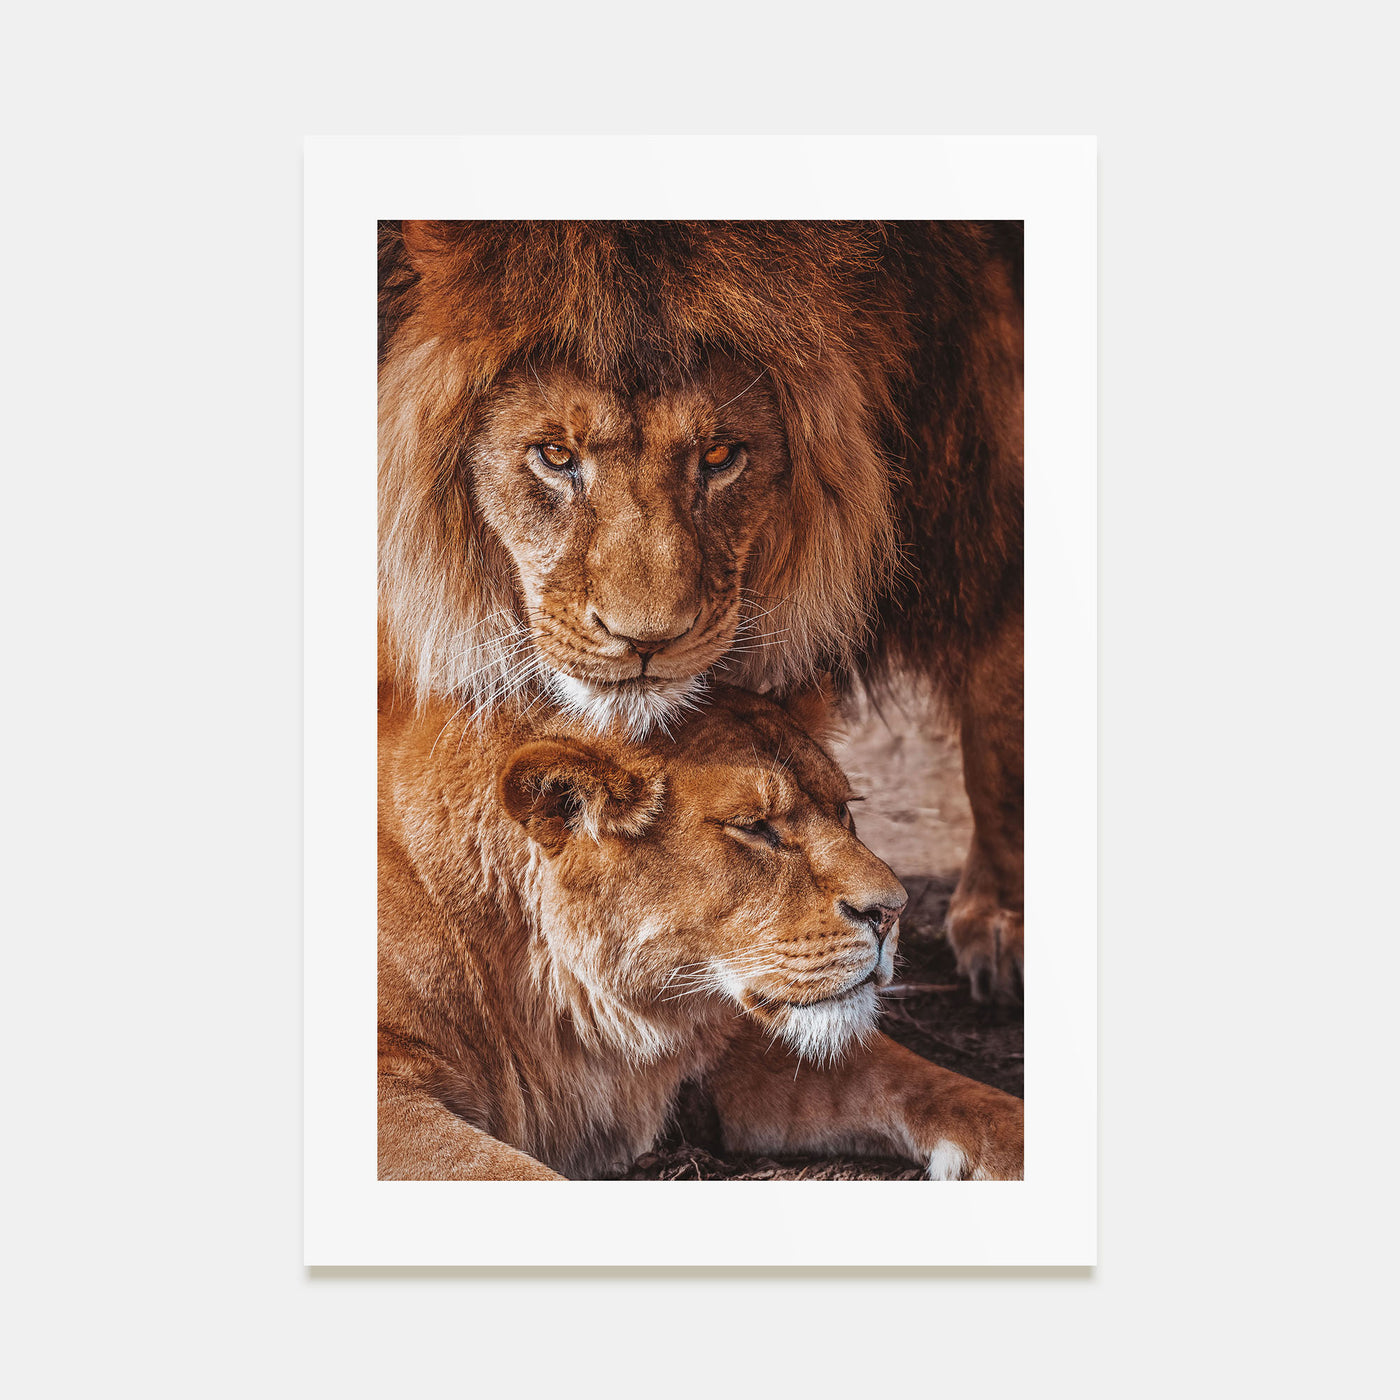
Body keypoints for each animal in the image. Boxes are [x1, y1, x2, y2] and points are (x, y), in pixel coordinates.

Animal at [378, 683, 1024, 1181]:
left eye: (844, 810)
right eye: (755, 827)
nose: (893, 911)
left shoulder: (734, 1041)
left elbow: (944, 1089)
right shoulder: (391, 1098)